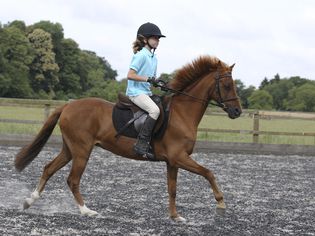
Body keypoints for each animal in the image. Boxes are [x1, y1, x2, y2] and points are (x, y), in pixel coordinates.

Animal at [14, 55, 242, 221]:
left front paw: (175, 217)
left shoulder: (172, 162)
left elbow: (173, 190)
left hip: (70, 149)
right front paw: (221, 204)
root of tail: (68, 106)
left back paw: (29, 201)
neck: (182, 113)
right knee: (73, 180)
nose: (237, 112)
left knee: (49, 169)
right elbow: (208, 173)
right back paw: (86, 211)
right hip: (82, 151)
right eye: (227, 86)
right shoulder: (179, 157)